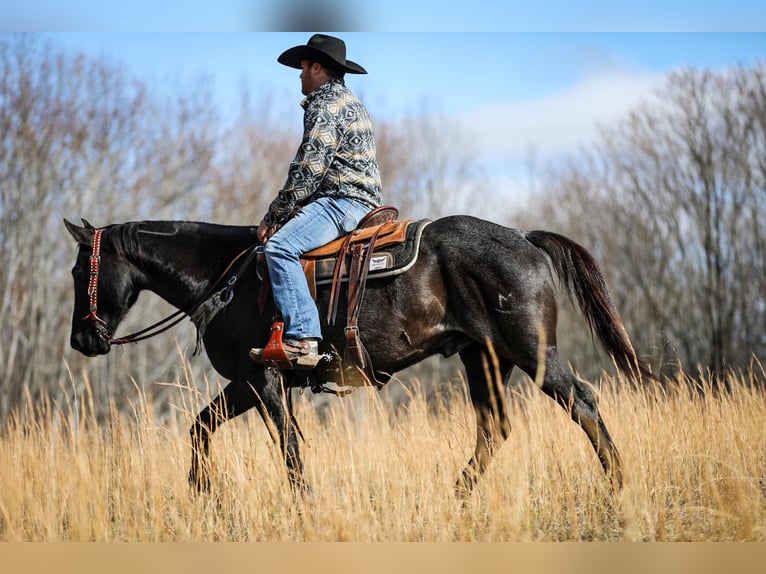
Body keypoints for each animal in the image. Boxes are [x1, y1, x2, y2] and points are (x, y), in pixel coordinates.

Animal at [66, 216, 656, 500]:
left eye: (77, 272)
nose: (82, 341)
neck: (225, 276)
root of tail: (525, 238)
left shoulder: (260, 379)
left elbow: (287, 448)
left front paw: (302, 504)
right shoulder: (248, 383)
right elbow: (200, 427)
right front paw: (201, 492)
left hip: (534, 355)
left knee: (582, 403)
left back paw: (618, 484)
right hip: (484, 360)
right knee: (494, 427)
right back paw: (457, 494)